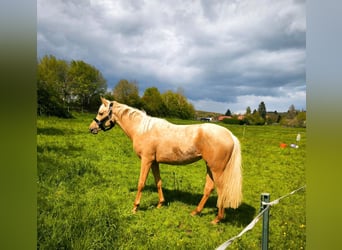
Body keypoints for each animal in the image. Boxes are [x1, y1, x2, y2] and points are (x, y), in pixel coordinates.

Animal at [89, 97, 243, 223]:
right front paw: (160, 204)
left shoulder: (146, 160)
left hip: (217, 169)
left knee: (221, 190)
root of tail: (230, 135)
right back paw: (196, 212)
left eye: (101, 113)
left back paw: (217, 219)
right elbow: (158, 182)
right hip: (209, 167)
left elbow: (141, 183)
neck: (142, 129)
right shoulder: (154, 162)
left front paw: (135, 208)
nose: (91, 129)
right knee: (209, 188)